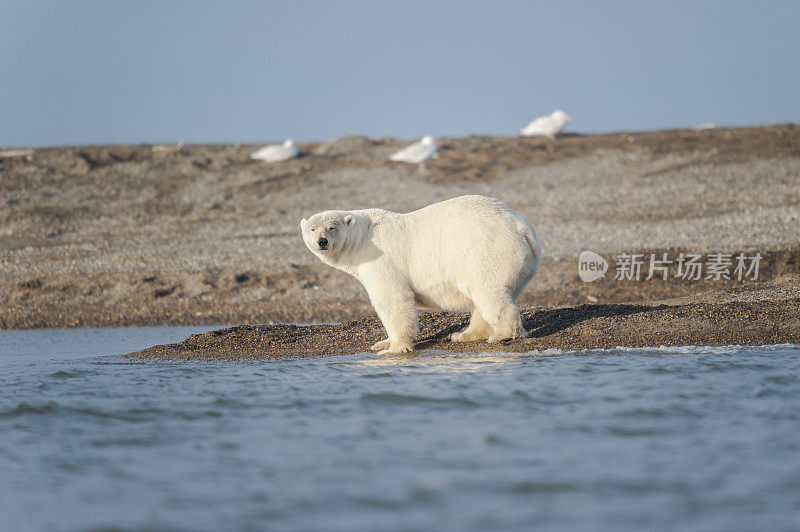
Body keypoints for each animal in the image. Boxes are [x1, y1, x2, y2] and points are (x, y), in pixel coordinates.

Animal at [300, 194, 544, 354]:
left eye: (331, 227)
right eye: (312, 229)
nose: (321, 241)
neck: (364, 235)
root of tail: (523, 228)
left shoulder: (380, 259)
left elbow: (392, 299)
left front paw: (393, 348)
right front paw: (382, 342)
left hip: (488, 252)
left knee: (489, 292)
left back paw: (500, 334)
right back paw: (463, 335)